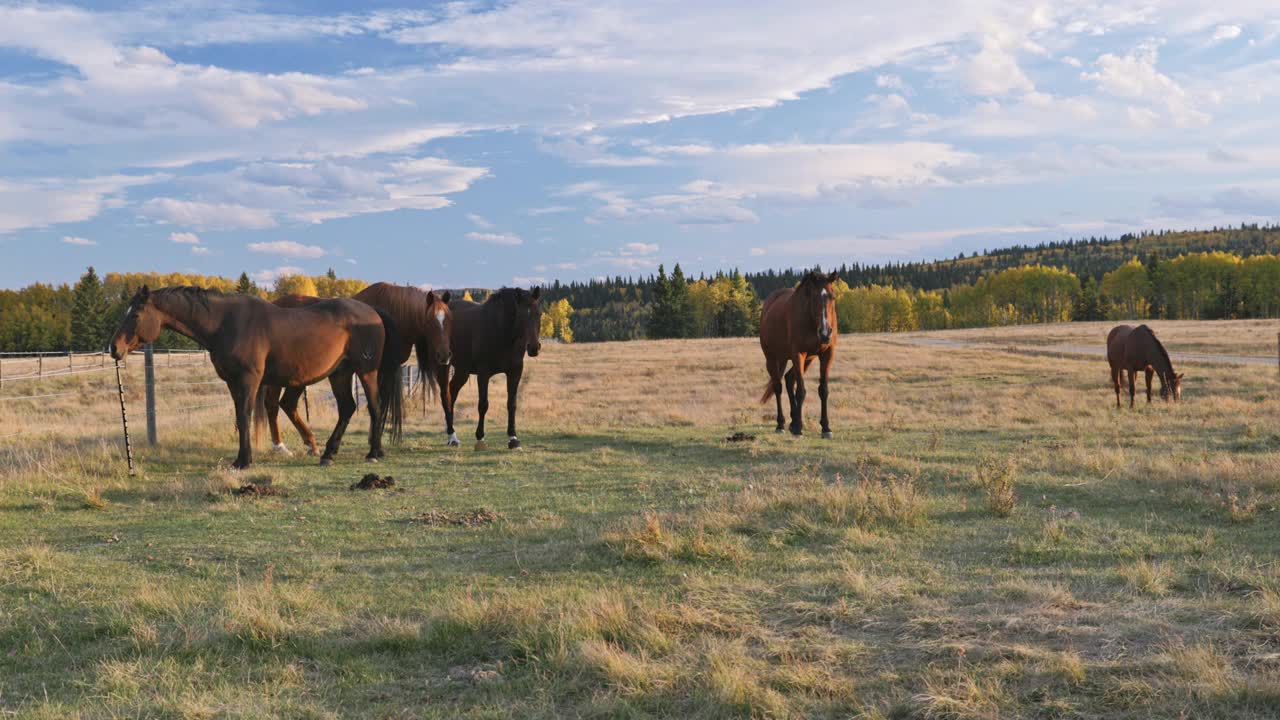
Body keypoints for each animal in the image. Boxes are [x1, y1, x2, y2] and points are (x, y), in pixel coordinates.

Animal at [109, 283, 401, 468]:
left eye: (135, 314)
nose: (114, 348)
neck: (225, 323)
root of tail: (372, 312)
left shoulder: (248, 380)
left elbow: (244, 415)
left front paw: (244, 461)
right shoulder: (232, 382)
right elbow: (241, 418)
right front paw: (242, 458)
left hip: (366, 371)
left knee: (374, 406)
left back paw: (374, 452)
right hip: (339, 373)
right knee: (347, 408)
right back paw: (328, 453)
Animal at [257, 280, 453, 453]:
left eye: (448, 320)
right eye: (430, 321)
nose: (444, 355)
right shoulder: (377, 370)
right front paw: (374, 441)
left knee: (284, 404)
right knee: (275, 404)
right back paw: (282, 446)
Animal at [440, 285, 540, 448]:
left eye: (539, 314)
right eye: (521, 316)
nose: (534, 348)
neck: (501, 331)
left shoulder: (515, 371)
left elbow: (512, 403)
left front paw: (513, 438)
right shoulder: (483, 373)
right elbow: (483, 404)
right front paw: (480, 437)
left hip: (462, 370)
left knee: (452, 393)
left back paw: (452, 435)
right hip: (444, 365)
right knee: (445, 395)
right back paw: (452, 436)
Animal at [757, 271, 839, 435]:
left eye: (832, 297)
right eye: (814, 298)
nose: (825, 333)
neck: (811, 321)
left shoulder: (827, 354)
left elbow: (823, 390)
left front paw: (825, 427)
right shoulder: (798, 354)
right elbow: (801, 391)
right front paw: (799, 428)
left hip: (806, 359)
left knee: (789, 379)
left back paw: (793, 420)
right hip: (772, 358)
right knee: (778, 386)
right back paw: (781, 424)